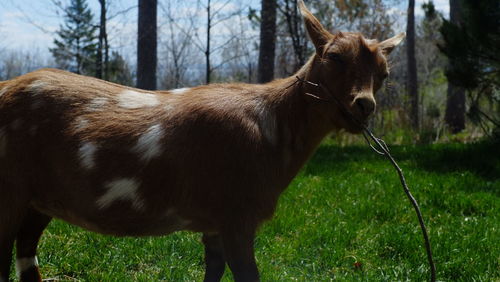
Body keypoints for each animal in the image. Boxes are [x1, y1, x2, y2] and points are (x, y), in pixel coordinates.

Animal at [0, 1, 404, 280]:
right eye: (333, 57)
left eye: (383, 73)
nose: (364, 105)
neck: (274, 126)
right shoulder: (237, 213)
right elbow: (248, 274)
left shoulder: (214, 221)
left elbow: (214, 270)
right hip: (10, 191)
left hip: (40, 201)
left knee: (26, 254)